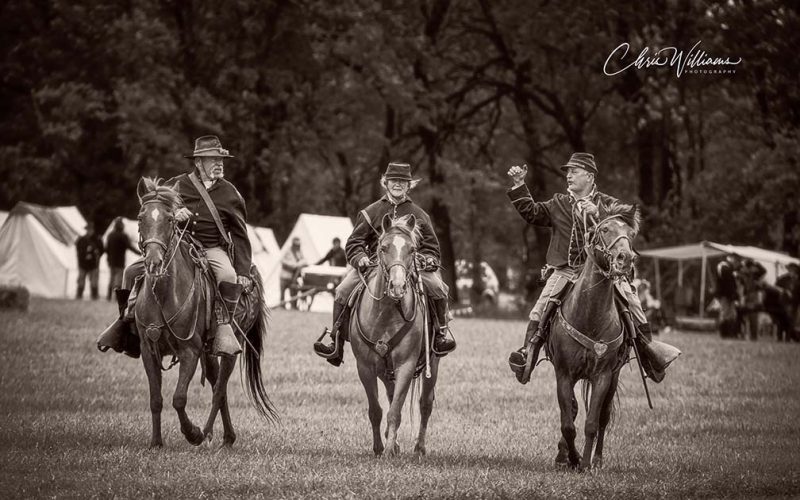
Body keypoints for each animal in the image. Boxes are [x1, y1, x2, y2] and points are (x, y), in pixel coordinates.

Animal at [348, 215, 438, 458]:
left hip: (432, 365)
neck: (387, 313)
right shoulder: (365, 368)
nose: (397, 287)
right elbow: (376, 411)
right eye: (383, 247)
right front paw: (381, 447)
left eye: (412, 249)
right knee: (390, 397)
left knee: (425, 404)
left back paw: (419, 447)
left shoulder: (406, 366)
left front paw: (388, 450)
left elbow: (395, 412)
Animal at [548, 201, 640, 470]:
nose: (625, 259)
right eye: (605, 229)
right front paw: (572, 458)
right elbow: (568, 424)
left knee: (603, 417)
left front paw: (586, 464)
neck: (590, 315)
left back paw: (597, 460)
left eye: (631, 234)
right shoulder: (563, 374)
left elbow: (592, 423)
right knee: (573, 411)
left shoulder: (603, 376)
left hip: (614, 377)